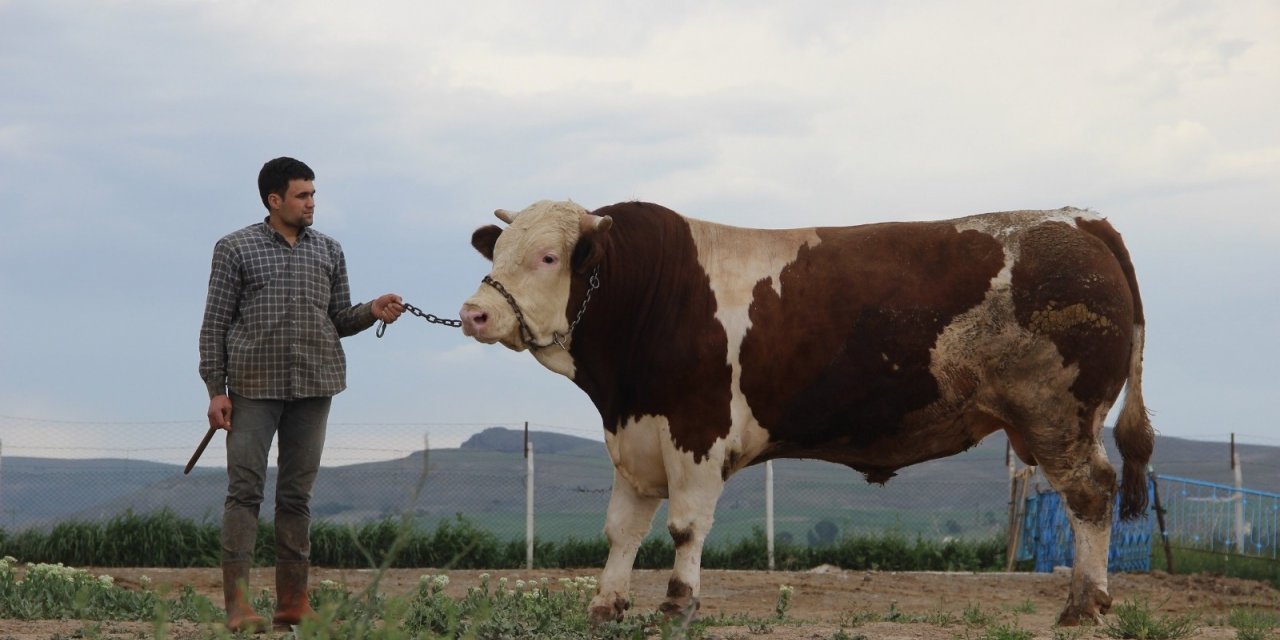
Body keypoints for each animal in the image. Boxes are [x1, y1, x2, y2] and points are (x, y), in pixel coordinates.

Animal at [458, 199, 1152, 624]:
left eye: (548, 257)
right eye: (498, 252)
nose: (474, 313)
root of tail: (1077, 220)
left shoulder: (696, 430)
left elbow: (684, 527)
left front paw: (679, 603)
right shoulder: (638, 438)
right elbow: (622, 530)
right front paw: (607, 605)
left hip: (1058, 414)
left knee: (1091, 493)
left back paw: (1085, 604)